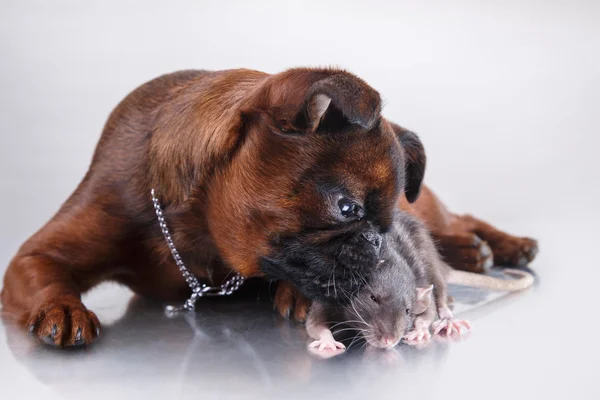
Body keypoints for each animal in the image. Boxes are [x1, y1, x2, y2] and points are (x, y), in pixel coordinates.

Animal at [0, 68, 536, 346]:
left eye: (384, 222)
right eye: (346, 208)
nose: (378, 239)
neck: (195, 233)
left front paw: (293, 295)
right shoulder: (38, 254)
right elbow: (45, 273)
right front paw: (63, 307)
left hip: (424, 206)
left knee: (458, 220)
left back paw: (500, 245)